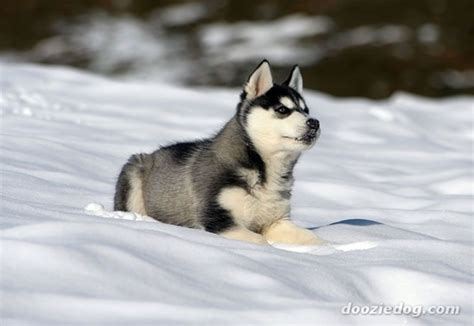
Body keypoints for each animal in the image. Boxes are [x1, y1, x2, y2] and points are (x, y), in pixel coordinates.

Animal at [113, 60, 324, 244]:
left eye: (305, 110)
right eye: (282, 110)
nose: (314, 122)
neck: (263, 170)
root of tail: (153, 154)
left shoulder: (277, 221)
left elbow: (315, 239)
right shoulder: (219, 220)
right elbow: (261, 241)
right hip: (134, 170)